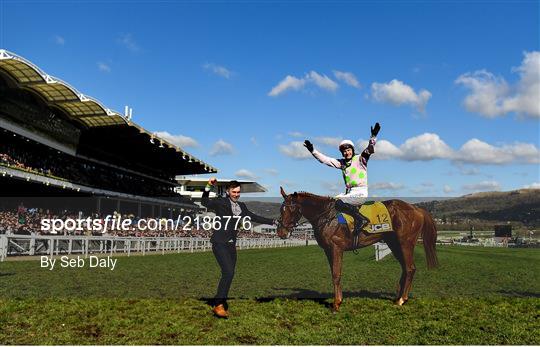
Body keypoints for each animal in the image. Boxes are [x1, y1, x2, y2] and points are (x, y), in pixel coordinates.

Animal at [276, 188, 436, 312]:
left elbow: (336, 274)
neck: (326, 216)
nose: (281, 233)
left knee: (410, 268)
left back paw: (402, 299)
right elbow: (334, 274)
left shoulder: (336, 248)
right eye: (281, 209)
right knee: (405, 268)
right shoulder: (328, 250)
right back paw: (398, 297)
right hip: (394, 244)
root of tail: (416, 209)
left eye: (291, 208)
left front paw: (336, 304)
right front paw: (338, 300)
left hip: (405, 243)